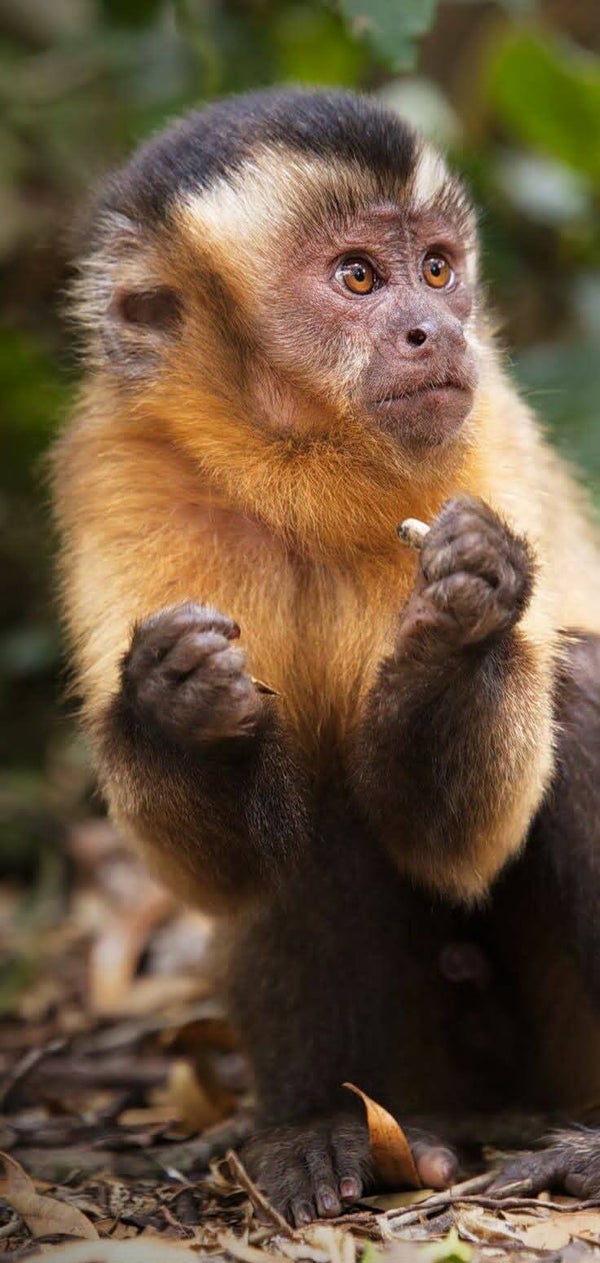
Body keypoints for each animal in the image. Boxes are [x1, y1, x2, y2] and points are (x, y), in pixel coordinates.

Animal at [51, 88, 600, 1225]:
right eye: (357, 277)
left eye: (436, 268)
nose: (437, 329)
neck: (298, 464)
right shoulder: (119, 473)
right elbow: (222, 867)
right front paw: (176, 701)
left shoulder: (485, 437)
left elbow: (459, 841)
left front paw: (467, 613)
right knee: (310, 805)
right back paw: (335, 1131)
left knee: (575, 687)